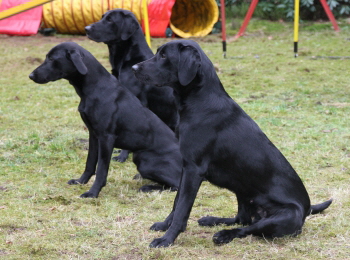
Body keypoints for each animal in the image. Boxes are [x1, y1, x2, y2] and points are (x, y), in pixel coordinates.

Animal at [29, 42, 182, 197]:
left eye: (51, 59)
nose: (30, 75)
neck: (95, 87)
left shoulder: (106, 138)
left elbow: (101, 169)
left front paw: (92, 193)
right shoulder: (93, 135)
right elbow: (90, 163)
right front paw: (81, 181)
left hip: (144, 159)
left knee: (176, 185)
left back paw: (148, 187)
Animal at [133, 39, 332, 247]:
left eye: (164, 56)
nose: (133, 68)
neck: (200, 102)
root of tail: (307, 208)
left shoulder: (194, 170)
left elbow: (181, 209)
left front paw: (166, 239)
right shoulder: (185, 167)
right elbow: (176, 203)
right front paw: (164, 225)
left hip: (286, 214)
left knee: (248, 228)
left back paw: (224, 234)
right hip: (241, 192)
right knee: (242, 219)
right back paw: (211, 220)